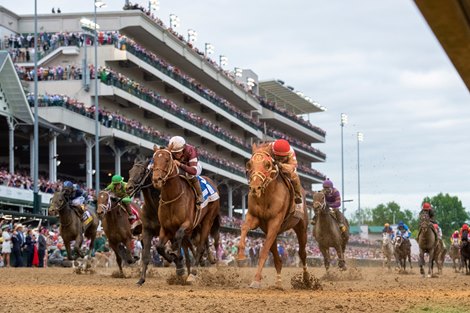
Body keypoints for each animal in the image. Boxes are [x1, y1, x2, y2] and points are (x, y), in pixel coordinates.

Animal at [152, 145, 222, 280]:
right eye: (154, 160)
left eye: (167, 160)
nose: (156, 180)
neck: (172, 197)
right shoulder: (165, 228)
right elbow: (159, 247)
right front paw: (172, 259)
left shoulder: (187, 224)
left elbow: (178, 237)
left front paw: (174, 253)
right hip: (198, 225)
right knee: (201, 243)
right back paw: (206, 260)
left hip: (208, 220)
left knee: (201, 245)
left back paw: (194, 270)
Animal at [235, 143, 308, 286]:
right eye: (249, 164)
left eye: (268, 164)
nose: (254, 188)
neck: (266, 196)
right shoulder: (255, 217)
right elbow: (244, 227)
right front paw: (241, 255)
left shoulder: (275, 222)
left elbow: (263, 252)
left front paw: (256, 280)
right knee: (277, 259)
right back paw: (278, 283)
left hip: (301, 227)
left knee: (302, 253)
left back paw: (307, 280)